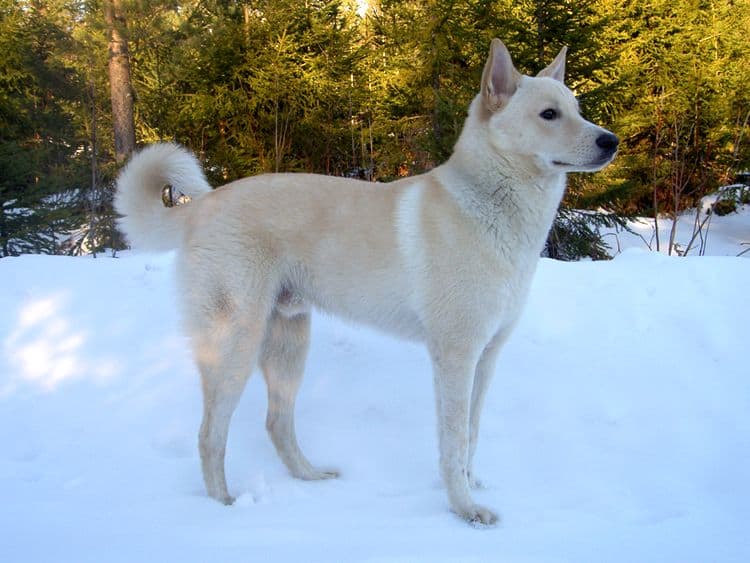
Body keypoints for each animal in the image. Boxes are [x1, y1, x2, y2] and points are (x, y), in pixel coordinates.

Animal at [114, 38, 620, 524]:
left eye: (576, 108)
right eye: (549, 114)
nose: (611, 141)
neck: (489, 205)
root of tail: (202, 206)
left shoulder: (487, 356)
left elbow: (472, 435)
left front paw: (471, 488)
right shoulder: (456, 356)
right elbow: (454, 441)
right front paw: (463, 509)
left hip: (289, 344)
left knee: (276, 423)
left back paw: (311, 477)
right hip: (235, 346)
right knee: (209, 434)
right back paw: (223, 507)